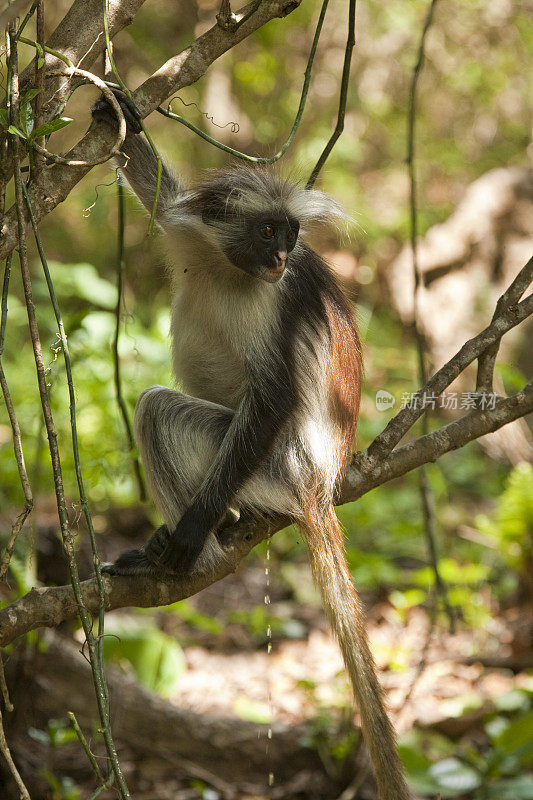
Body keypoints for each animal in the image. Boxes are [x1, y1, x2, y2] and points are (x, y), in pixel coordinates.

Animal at [91, 95, 410, 800]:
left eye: (288, 236)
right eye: (268, 232)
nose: (281, 257)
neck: (226, 266)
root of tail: (322, 482)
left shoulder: (280, 300)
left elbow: (274, 398)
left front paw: (190, 533)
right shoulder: (189, 229)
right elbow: (162, 195)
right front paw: (113, 109)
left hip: (277, 469)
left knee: (158, 408)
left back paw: (191, 547)